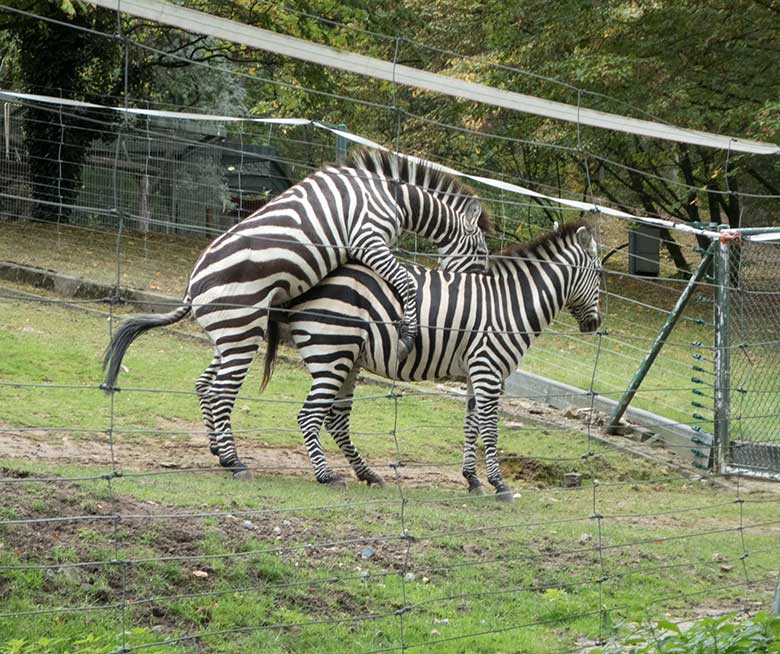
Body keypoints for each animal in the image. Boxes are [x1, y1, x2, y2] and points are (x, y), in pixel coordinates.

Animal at [102, 151, 494, 474]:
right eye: (481, 251)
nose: (480, 289)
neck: (391, 197)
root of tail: (191, 286)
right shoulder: (367, 238)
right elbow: (405, 282)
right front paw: (408, 334)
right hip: (241, 328)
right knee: (221, 391)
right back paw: (233, 461)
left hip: (231, 332)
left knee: (205, 384)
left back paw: (218, 449)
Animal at [266, 223, 600, 500]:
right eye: (598, 275)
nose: (594, 325)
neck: (512, 307)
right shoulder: (489, 369)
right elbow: (489, 428)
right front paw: (499, 484)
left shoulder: (474, 373)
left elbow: (471, 425)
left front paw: (472, 479)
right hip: (331, 352)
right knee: (309, 416)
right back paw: (326, 476)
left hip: (348, 358)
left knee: (336, 420)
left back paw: (368, 474)